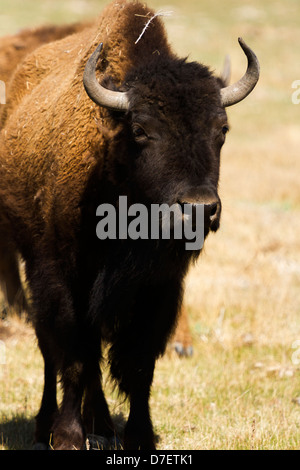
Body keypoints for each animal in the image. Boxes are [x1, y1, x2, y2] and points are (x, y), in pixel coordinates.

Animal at [0, 0, 258, 450]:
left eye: (221, 130)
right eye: (140, 130)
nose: (199, 208)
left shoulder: (157, 289)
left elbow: (138, 364)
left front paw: (138, 436)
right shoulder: (66, 279)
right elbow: (74, 356)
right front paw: (68, 437)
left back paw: (102, 424)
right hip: (34, 263)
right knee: (52, 349)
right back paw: (47, 423)